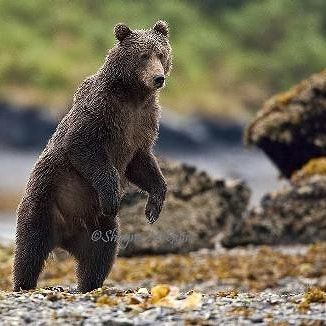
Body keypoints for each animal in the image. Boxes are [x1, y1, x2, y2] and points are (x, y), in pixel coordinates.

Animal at [12, 21, 172, 294]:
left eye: (161, 54)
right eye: (143, 56)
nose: (158, 78)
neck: (133, 95)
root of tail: (65, 237)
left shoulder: (144, 122)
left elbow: (141, 163)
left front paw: (153, 207)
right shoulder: (101, 111)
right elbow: (83, 147)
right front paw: (112, 197)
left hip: (98, 227)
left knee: (100, 255)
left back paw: (87, 285)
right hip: (44, 201)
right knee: (30, 247)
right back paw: (23, 284)